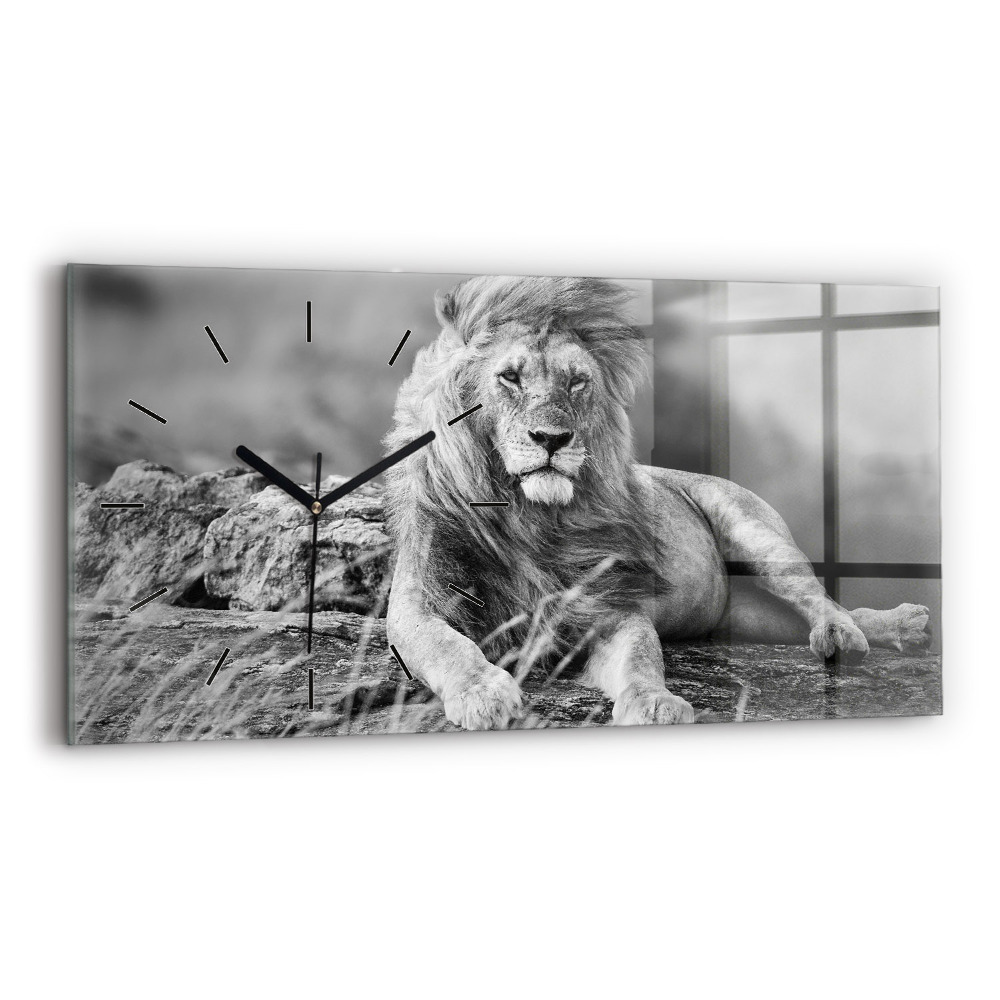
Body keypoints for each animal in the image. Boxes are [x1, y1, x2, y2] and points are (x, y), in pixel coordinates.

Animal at [383, 275, 932, 730]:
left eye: (577, 381)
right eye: (510, 378)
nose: (553, 439)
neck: (528, 516)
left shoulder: (610, 606)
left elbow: (643, 655)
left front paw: (655, 703)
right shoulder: (419, 603)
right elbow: (447, 645)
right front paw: (484, 693)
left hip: (757, 535)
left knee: (822, 600)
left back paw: (858, 632)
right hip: (745, 617)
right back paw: (903, 628)